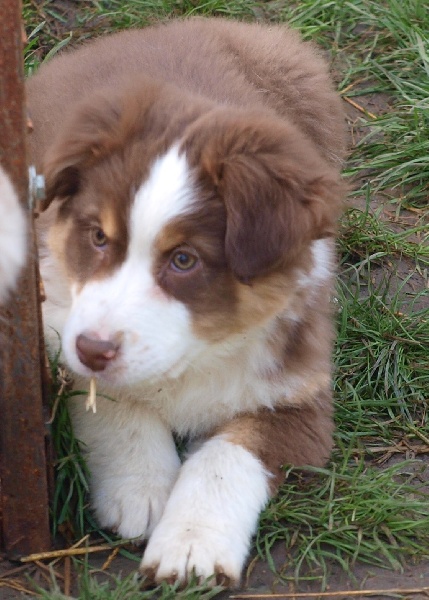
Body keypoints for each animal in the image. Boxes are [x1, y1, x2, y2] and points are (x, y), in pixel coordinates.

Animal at [27, 17, 345, 586]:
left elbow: (225, 457)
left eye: (183, 260)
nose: (93, 348)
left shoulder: (300, 394)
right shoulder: (58, 326)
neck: (199, 352)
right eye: (98, 237)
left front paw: (192, 546)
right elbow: (112, 400)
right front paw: (141, 488)